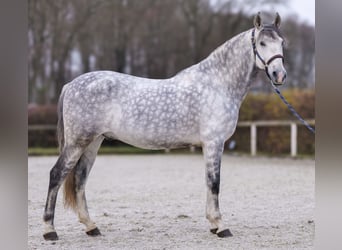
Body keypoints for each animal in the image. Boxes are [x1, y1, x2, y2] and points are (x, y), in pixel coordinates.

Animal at [42, 13, 286, 240]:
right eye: (262, 43)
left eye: (282, 42)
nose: (279, 74)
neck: (217, 84)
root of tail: (71, 85)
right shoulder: (214, 143)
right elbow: (214, 182)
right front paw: (221, 226)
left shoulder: (209, 145)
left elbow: (209, 182)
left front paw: (213, 224)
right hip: (77, 142)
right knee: (56, 175)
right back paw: (49, 230)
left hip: (93, 142)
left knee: (80, 180)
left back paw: (91, 227)